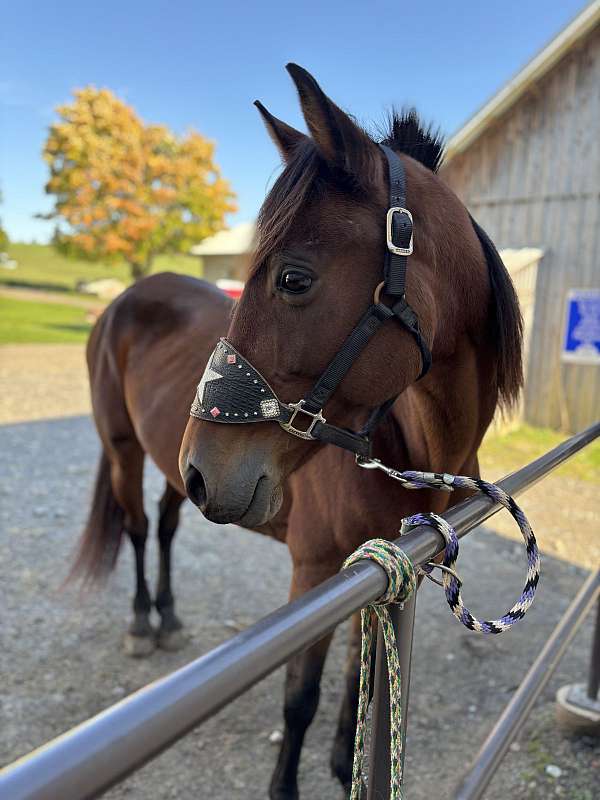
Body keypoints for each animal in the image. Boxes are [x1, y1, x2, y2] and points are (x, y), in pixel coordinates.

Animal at [71, 65, 520, 796]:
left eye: (292, 278)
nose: (208, 466)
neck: (411, 447)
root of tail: (129, 296)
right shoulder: (313, 572)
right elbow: (301, 698)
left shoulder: (388, 569)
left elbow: (364, 678)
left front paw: (346, 764)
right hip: (124, 449)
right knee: (137, 529)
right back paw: (142, 621)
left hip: (171, 470)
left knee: (165, 525)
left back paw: (168, 615)